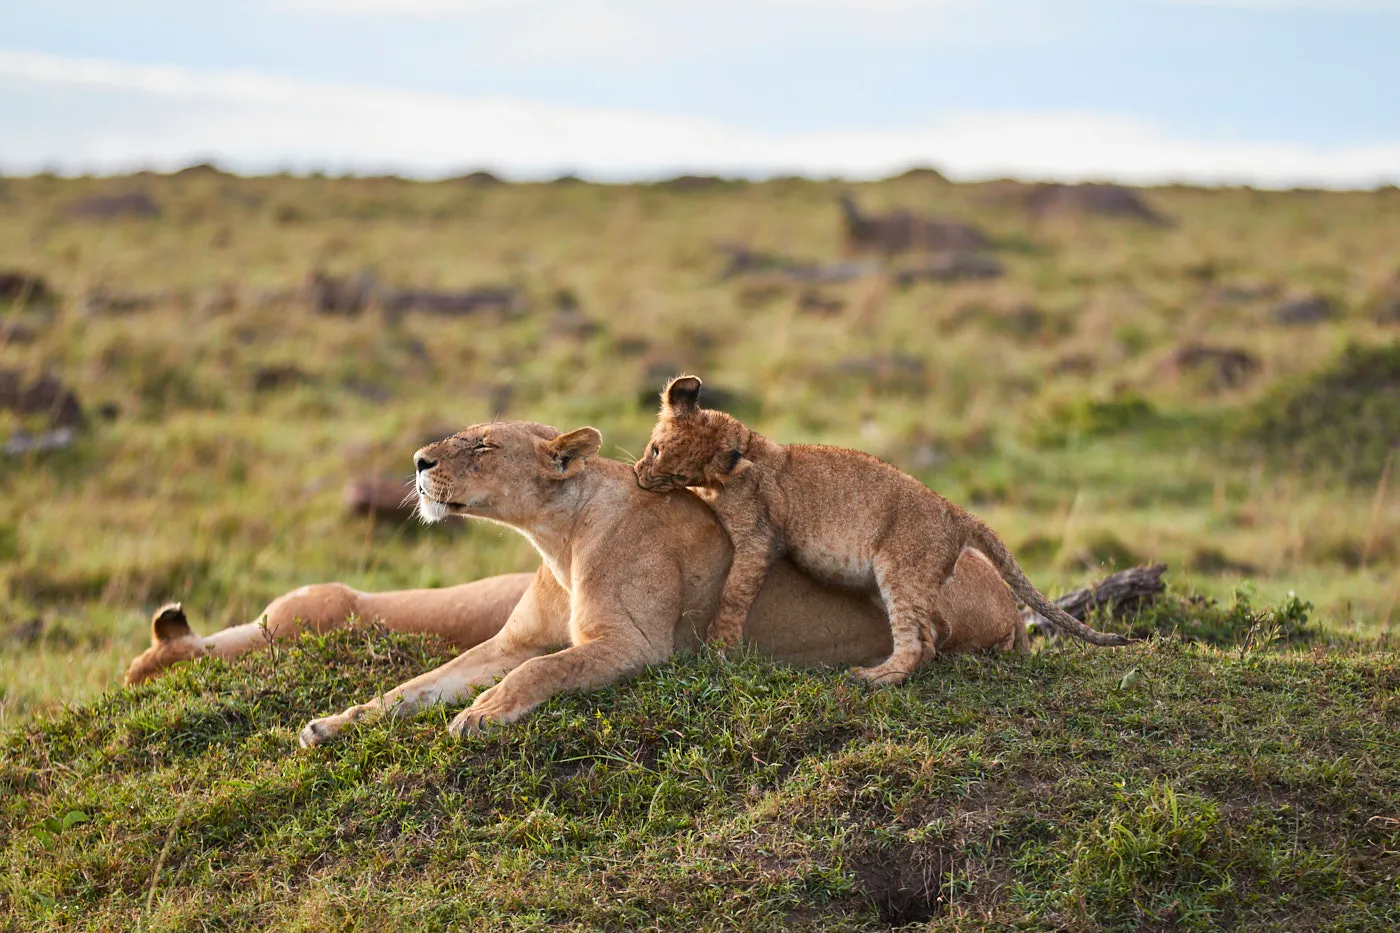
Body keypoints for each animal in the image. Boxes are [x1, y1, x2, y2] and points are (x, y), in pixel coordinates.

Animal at [286, 420, 1028, 746]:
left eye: (484, 446)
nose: (418, 461)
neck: (557, 537)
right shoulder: (509, 641)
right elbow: (416, 686)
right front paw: (333, 722)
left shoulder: (636, 645)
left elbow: (539, 672)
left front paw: (482, 713)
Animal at [634, 375, 1127, 684]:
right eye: (655, 448)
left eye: (670, 467)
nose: (640, 476)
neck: (744, 444)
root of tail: (955, 512)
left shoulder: (758, 539)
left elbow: (735, 594)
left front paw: (718, 649)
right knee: (932, 640)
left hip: (901, 571)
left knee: (919, 645)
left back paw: (875, 678)